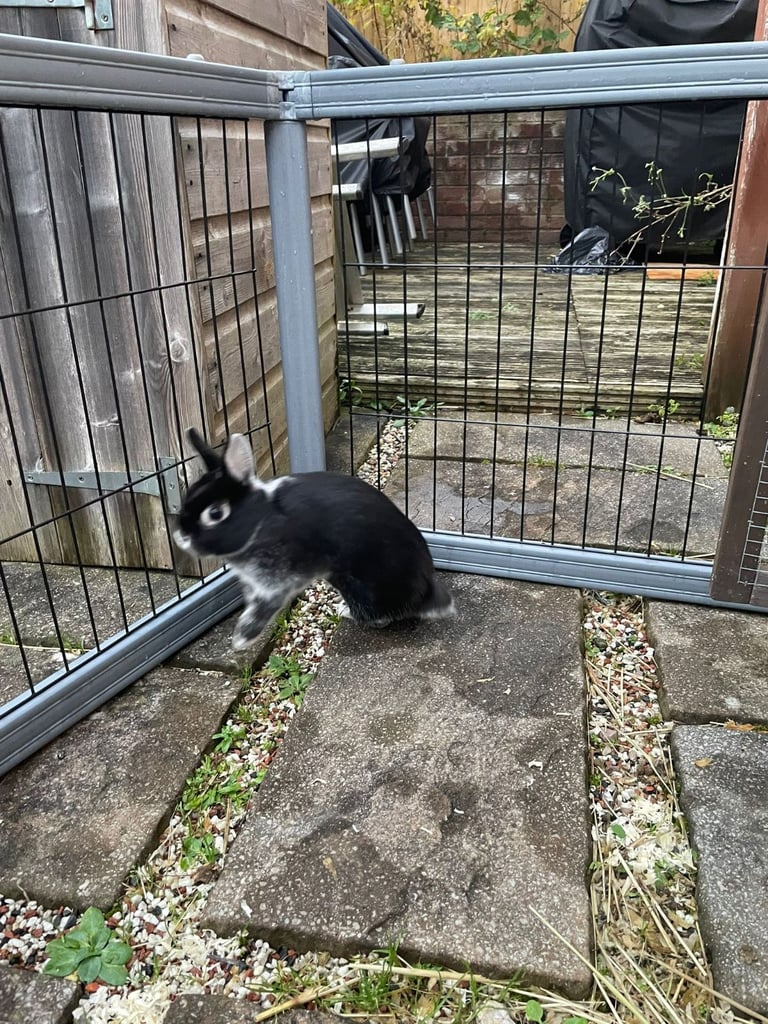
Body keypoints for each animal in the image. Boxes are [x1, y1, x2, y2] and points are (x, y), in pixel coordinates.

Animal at [174, 429, 455, 650]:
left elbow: (264, 608)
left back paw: (345, 612)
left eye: (215, 513)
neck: (261, 519)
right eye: (187, 498)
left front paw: (241, 640)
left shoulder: (279, 579)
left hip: (362, 587)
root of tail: (427, 592)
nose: (180, 537)